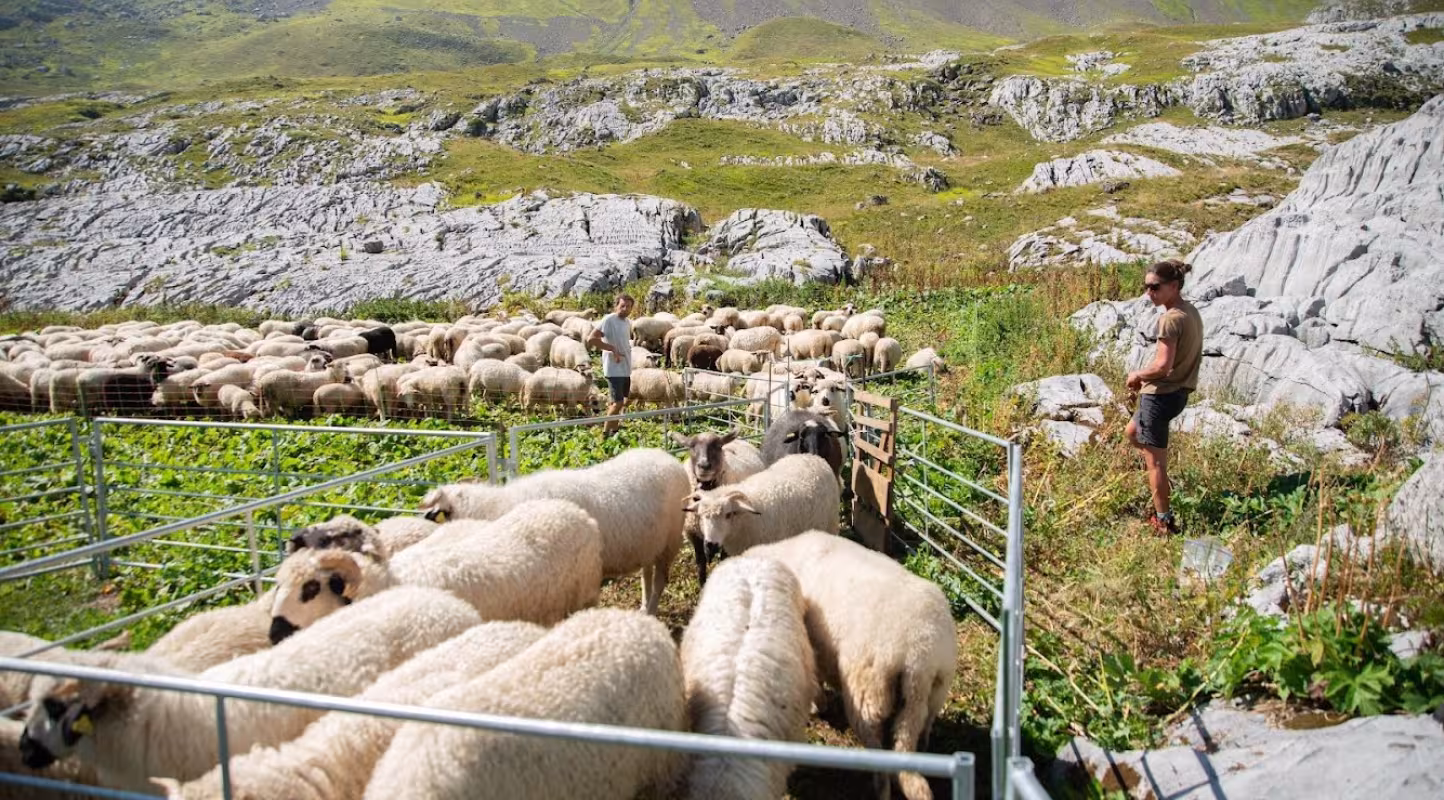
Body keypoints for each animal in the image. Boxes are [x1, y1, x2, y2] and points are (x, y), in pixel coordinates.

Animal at [267, 502, 603, 641]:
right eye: (277, 585)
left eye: (311, 587)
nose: (275, 633)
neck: (388, 580)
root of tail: (572, 509)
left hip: (584, 596)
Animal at [418, 447, 688, 614]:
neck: (498, 508)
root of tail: (669, 458)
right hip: (650, 541)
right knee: (646, 573)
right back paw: (644, 606)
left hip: (671, 540)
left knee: (660, 580)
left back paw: (651, 610)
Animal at [670, 430, 767, 585]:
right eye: (691, 447)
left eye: (718, 446)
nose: (704, 466)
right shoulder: (693, 534)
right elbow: (700, 563)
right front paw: (702, 584)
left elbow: (723, 559)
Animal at [743, 532, 957, 800]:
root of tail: (918, 654)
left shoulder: (812, 644)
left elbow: (816, 678)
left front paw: (818, 705)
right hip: (937, 688)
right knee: (923, 725)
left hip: (868, 696)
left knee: (880, 758)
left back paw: (880, 790)